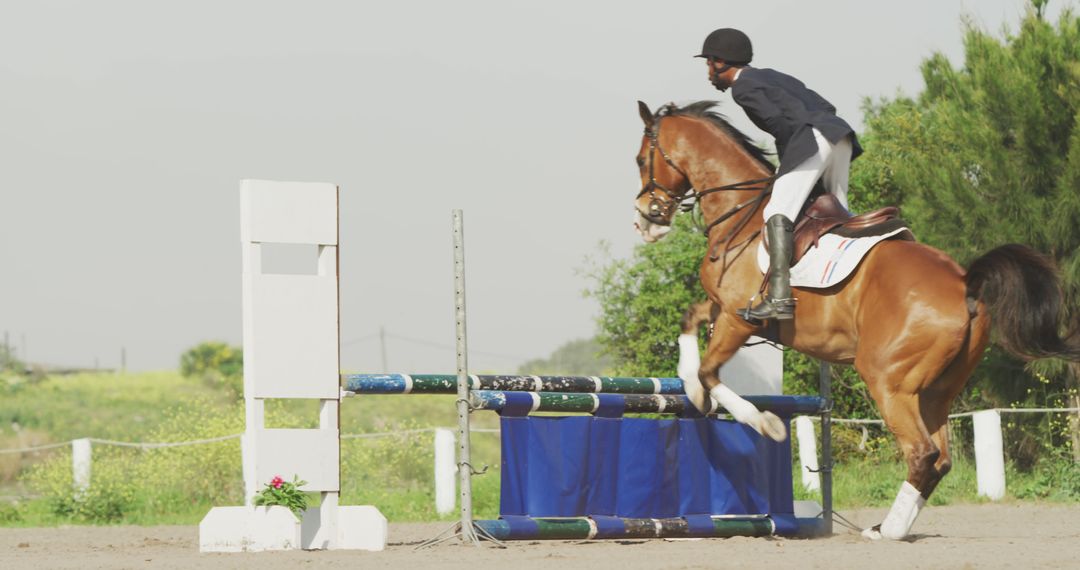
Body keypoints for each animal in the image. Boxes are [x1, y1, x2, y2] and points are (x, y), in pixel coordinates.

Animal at [630, 100, 1080, 541]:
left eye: (640, 159)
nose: (644, 219)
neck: (742, 217)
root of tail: (964, 281)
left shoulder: (741, 320)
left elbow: (711, 373)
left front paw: (766, 423)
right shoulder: (724, 307)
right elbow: (690, 325)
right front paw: (691, 388)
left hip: (887, 379)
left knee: (923, 452)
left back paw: (888, 531)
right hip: (936, 390)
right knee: (940, 457)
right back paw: (889, 524)